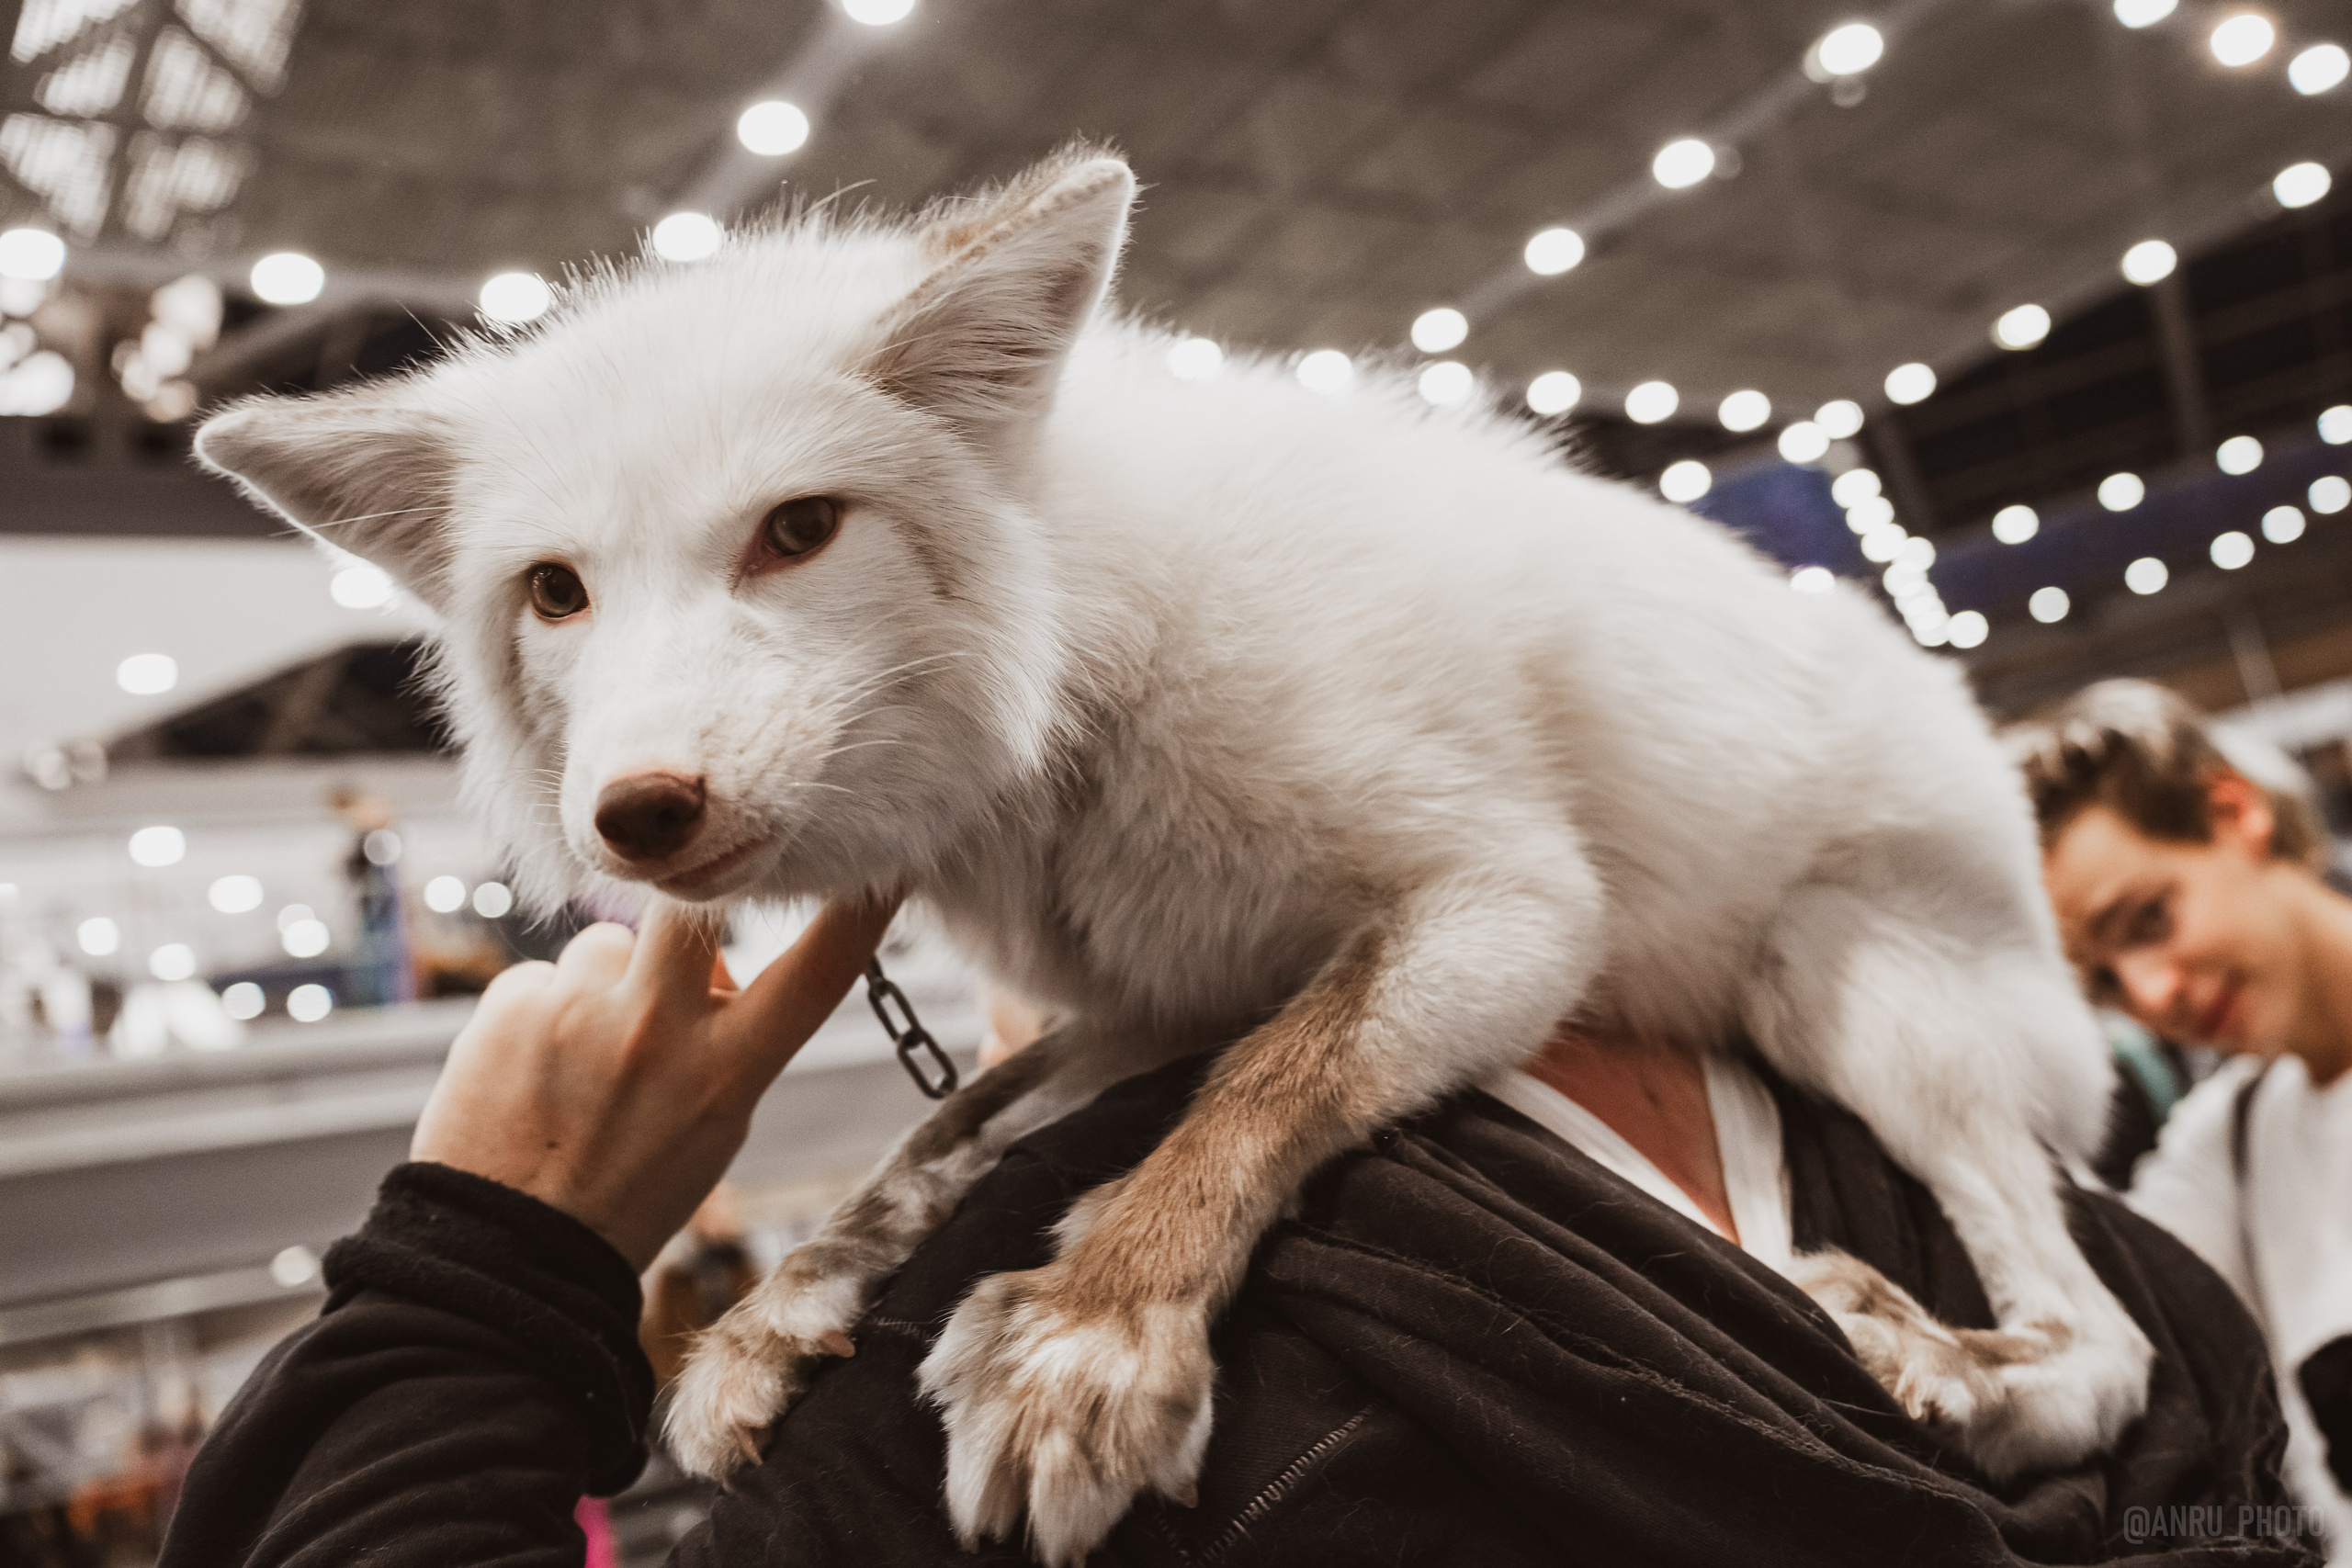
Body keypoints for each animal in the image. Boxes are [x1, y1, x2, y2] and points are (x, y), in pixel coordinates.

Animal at [197, 147, 2152, 1566]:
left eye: (798, 531)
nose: (641, 812)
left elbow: (1267, 1087)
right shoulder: (1160, 979)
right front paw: (788, 1304)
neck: (1083, 693)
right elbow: (950, 1133)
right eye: (554, 592)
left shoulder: (1510, 906)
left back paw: (1937, 1358)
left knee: (2106, 1343)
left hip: (1843, 992)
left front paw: (1095, 1330)